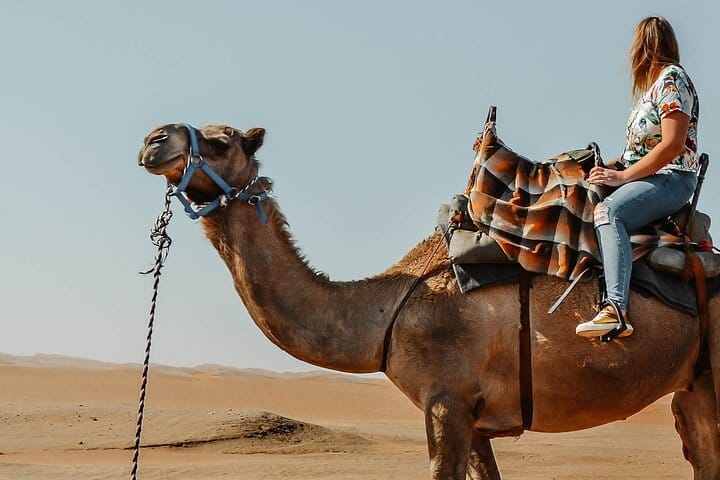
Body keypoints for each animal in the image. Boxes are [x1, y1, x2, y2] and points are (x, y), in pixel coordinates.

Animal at [138, 123, 720, 479]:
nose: (152, 139)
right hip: (692, 384)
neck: (388, 309)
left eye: (221, 142)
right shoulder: (473, 416)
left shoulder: (446, 402)